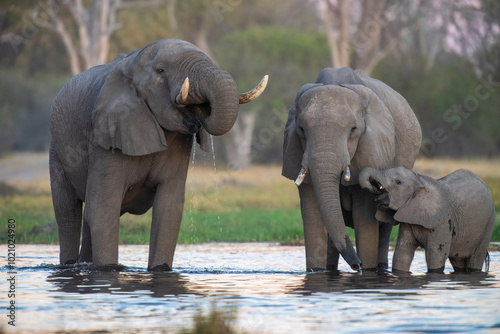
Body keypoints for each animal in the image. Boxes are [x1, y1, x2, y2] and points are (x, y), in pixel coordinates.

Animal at [49, 37, 270, 270]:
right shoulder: (105, 136)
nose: (200, 108)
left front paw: (160, 270)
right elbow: (104, 208)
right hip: (57, 150)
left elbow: (168, 210)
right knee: (67, 212)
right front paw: (108, 270)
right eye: (161, 70)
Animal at [284, 67, 420, 272]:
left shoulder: (373, 147)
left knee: (384, 226)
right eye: (301, 129)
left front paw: (368, 270)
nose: (357, 266)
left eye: (353, 130)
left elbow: (364, 216)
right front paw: (316, 272)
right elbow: (312, 216)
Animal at [358, 166, 494, 272]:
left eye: (398, 182)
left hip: (489, 223)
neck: (419, 179)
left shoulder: (443, 222)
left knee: (476, 258)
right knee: (458, 261)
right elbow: (402, 254)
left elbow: (435, 256)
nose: (374, 188)